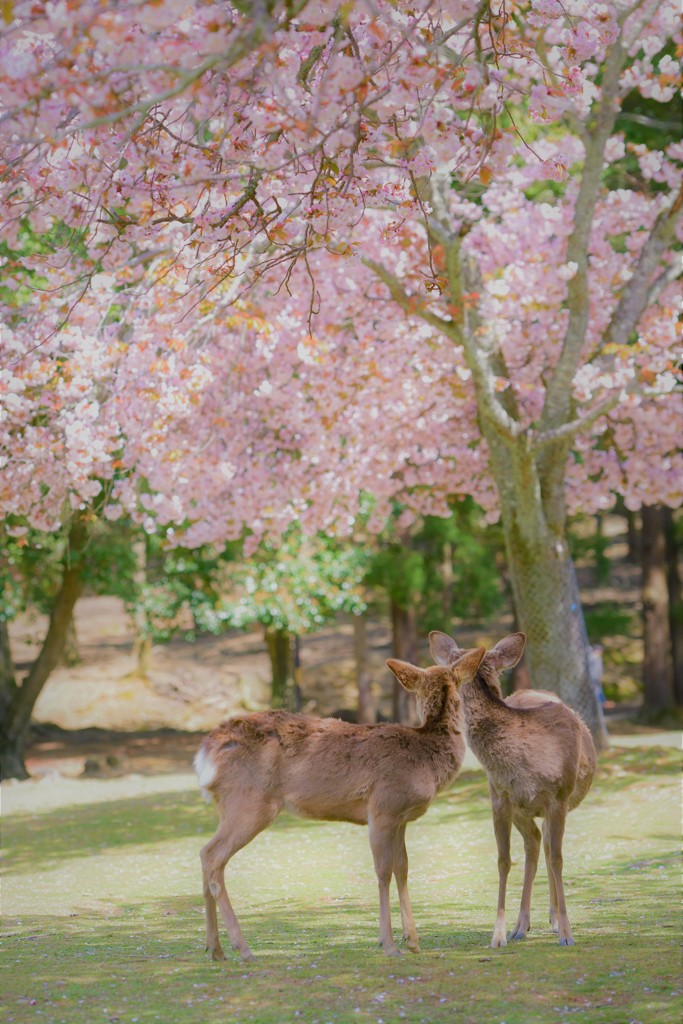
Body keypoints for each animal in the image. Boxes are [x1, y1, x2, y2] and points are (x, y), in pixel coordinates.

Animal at [194, 647, 485, 958]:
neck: (426, 761)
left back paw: (215, 949)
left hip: (230, 805)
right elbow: (383, 870)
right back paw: (243, 948)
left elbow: (403, 868)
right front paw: (389, 943)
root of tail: (205, 755)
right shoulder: (382, 807)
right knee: (212, 856)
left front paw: (413, 940)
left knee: (204, 855)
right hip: (250, 802)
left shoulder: (402, 818)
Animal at [432, 626, 598, 946]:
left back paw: (553, 920)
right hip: (523, 810)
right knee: (534, 845)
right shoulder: (499, 798)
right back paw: (522, 925)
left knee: (546, 846)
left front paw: (567, 932)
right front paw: (498, 934)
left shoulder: (558, 796)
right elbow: (504, 861)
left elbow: (558, 859)